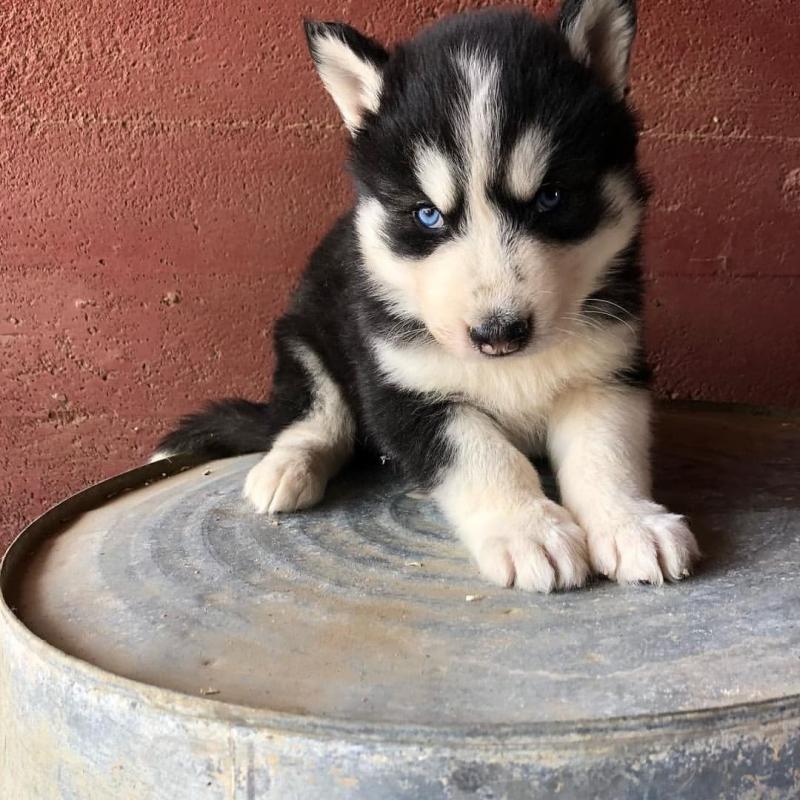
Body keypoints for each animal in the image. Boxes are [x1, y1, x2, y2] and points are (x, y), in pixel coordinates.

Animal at [155, 0, 700, 588]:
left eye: (552, 198)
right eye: (427, 215)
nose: (498, 335)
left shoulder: (607, 369)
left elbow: (605, 451)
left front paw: (631, 523)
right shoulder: (403, 387)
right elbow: (482, 455)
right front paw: (529, 530)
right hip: (304, 337)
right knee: (315, 419)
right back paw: (286, 467)